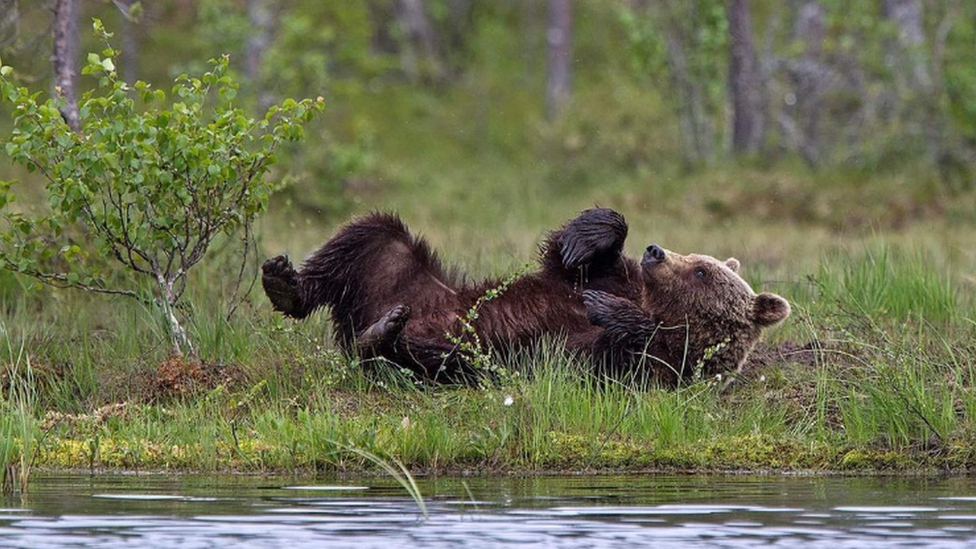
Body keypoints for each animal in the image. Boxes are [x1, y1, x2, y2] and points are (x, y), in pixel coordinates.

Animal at [262, 207, 792, 386]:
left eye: (701, 270)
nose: (657, 251)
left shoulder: (647, 366)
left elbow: (617, 354)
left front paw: (610, 312)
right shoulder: (608, 276)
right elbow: (571, 260)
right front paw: (588, 238)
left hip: (462, 352)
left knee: (428, 357)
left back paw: (386, 332)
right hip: (401, 275)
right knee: (371, 234)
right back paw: (286, 282)